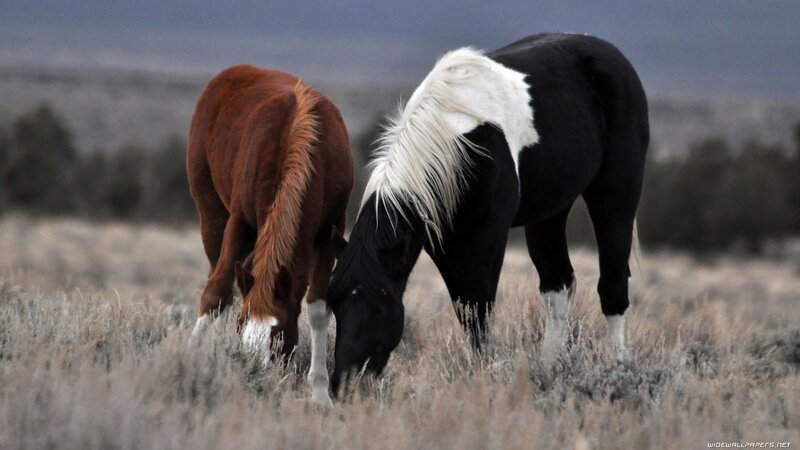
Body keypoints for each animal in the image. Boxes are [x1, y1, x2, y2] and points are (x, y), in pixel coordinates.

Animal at [187, 65, 353, 407]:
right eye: (242, 326)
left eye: (279, 334)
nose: (254, 376)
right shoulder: (239, 222)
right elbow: (216, 292)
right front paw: (191, 358)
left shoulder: (329, 231)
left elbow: (318, 307)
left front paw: (320, 392)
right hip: (211, 217)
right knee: (218, 278)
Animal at [327, 33, 649, 393]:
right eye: (334, 303)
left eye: (381, 303)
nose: (344, 385)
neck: (457, 142)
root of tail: (610, 53)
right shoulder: (445, 243)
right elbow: (466, 310)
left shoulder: (487, 237)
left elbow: (478, 310)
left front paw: (483, 376)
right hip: (550, 213)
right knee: (559, 287)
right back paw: (549, 370)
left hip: (616, 193)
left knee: (613, 285)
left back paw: (618, 370)